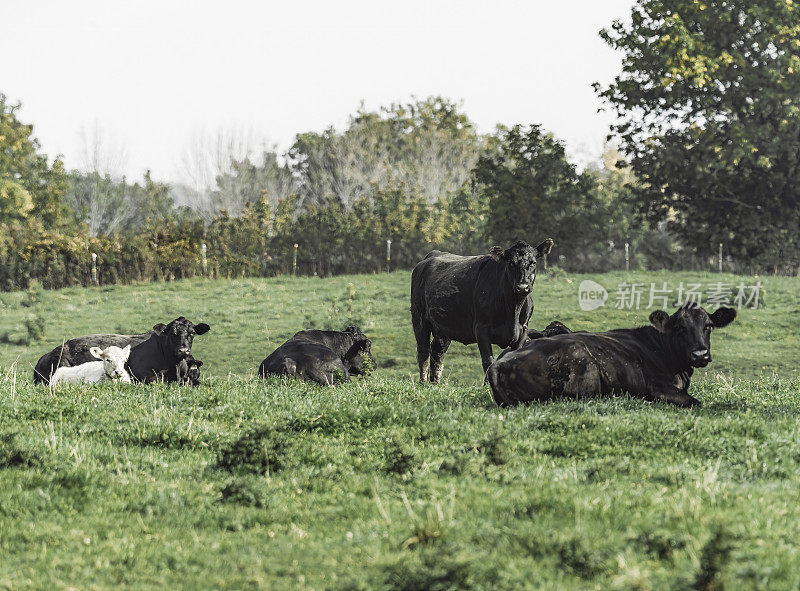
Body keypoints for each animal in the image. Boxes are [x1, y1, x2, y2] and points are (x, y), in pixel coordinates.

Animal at [484, 302, 736, 410]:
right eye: (679, 328)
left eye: (708, 326)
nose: (700, 353)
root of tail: (498, 364)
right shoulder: (658, 387)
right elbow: (696, 402)